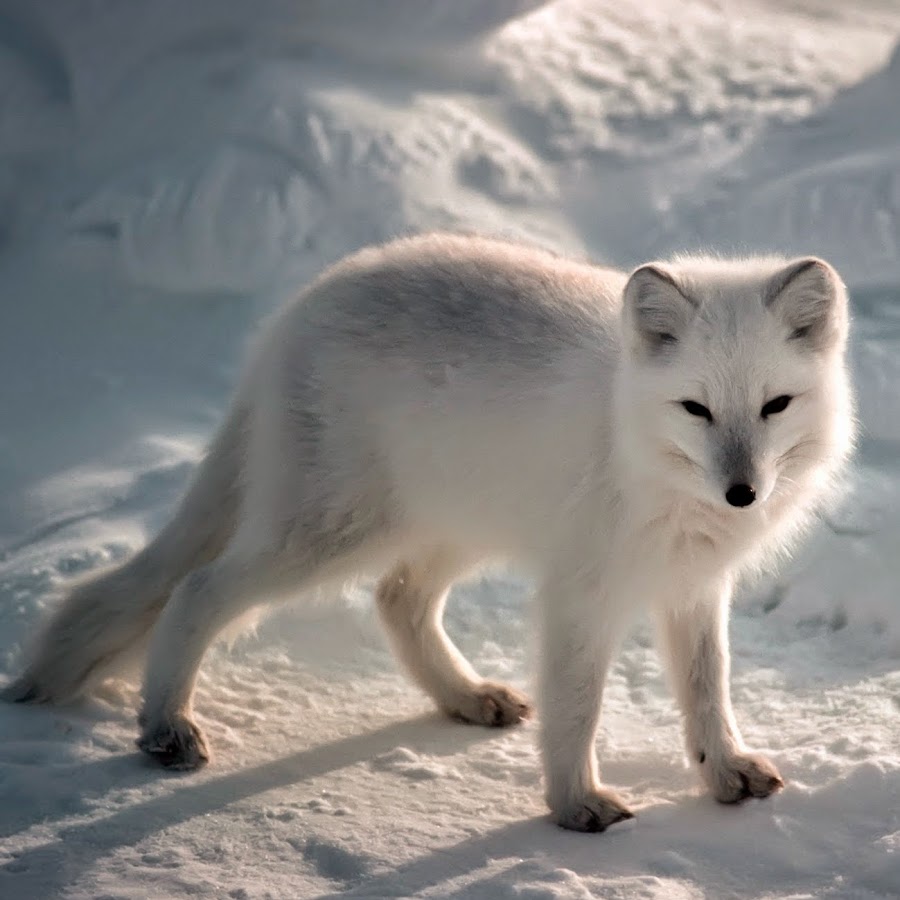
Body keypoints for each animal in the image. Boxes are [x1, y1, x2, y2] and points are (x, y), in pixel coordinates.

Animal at [3, 232, 856, 828]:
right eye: (696, 409)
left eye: (775, 406)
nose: (743, 494)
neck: (636, 445)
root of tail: (294, 314)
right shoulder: (582, 592)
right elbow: (578, 705)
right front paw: (573, 803)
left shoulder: (691, 586)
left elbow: (708, 691)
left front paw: (723, 773)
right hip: (327, 533)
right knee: (196, 588)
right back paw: (165, 725)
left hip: (446, 527)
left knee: (397, 600)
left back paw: (466, 697)